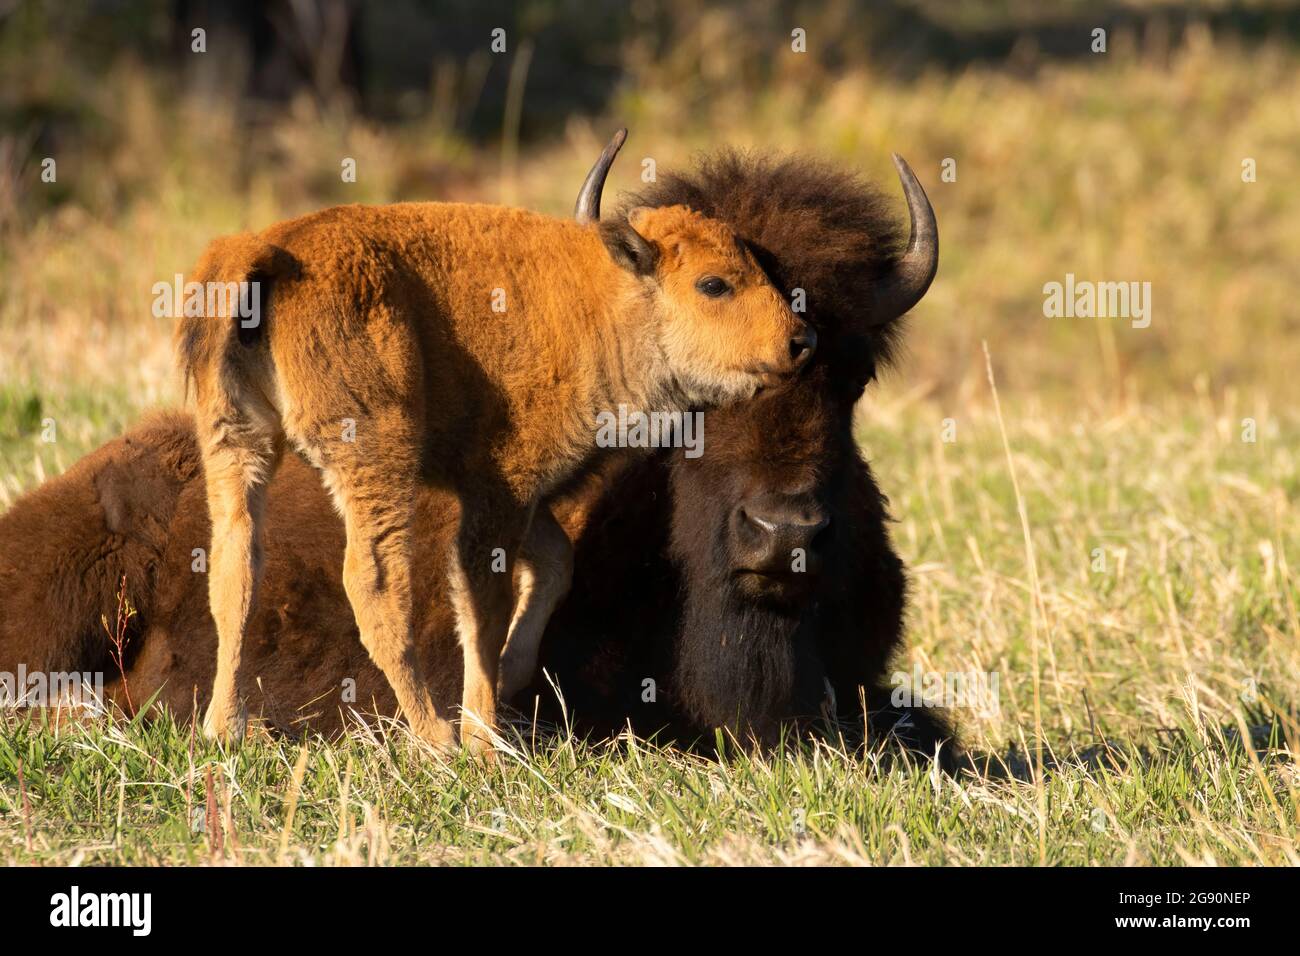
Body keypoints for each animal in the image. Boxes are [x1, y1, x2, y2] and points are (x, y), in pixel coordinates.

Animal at [0, 145, 956, 764]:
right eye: (717, 282)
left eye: (856, 374)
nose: (782, 532)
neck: (610, 298)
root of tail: (266, 254)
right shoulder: (496, 490)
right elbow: (484, 597)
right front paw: (489, 728)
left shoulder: (520, 496)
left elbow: (549, 565)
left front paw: (513, 687)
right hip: (369, 450)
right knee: (374, 581)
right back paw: (435, 740)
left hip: (239, 443)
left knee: (237, 565)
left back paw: (225, 729)